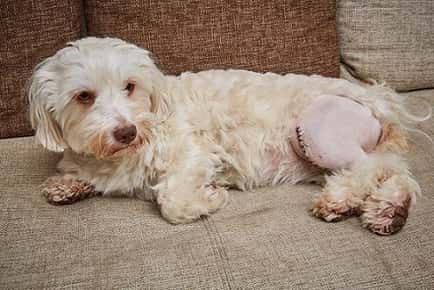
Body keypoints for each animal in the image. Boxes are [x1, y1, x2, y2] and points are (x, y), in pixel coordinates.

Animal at [28, 36, 430, 236]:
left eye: (130, 86)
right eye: (84, 96)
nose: (127, 132)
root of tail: (376, 96)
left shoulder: (194, 152)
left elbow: (173, 202)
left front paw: (210, 198)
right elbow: (76, 174)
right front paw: (65, 185)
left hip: (319, 130)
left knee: (373, 165)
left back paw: (343, 200)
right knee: (394, 171)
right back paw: (389, 210)